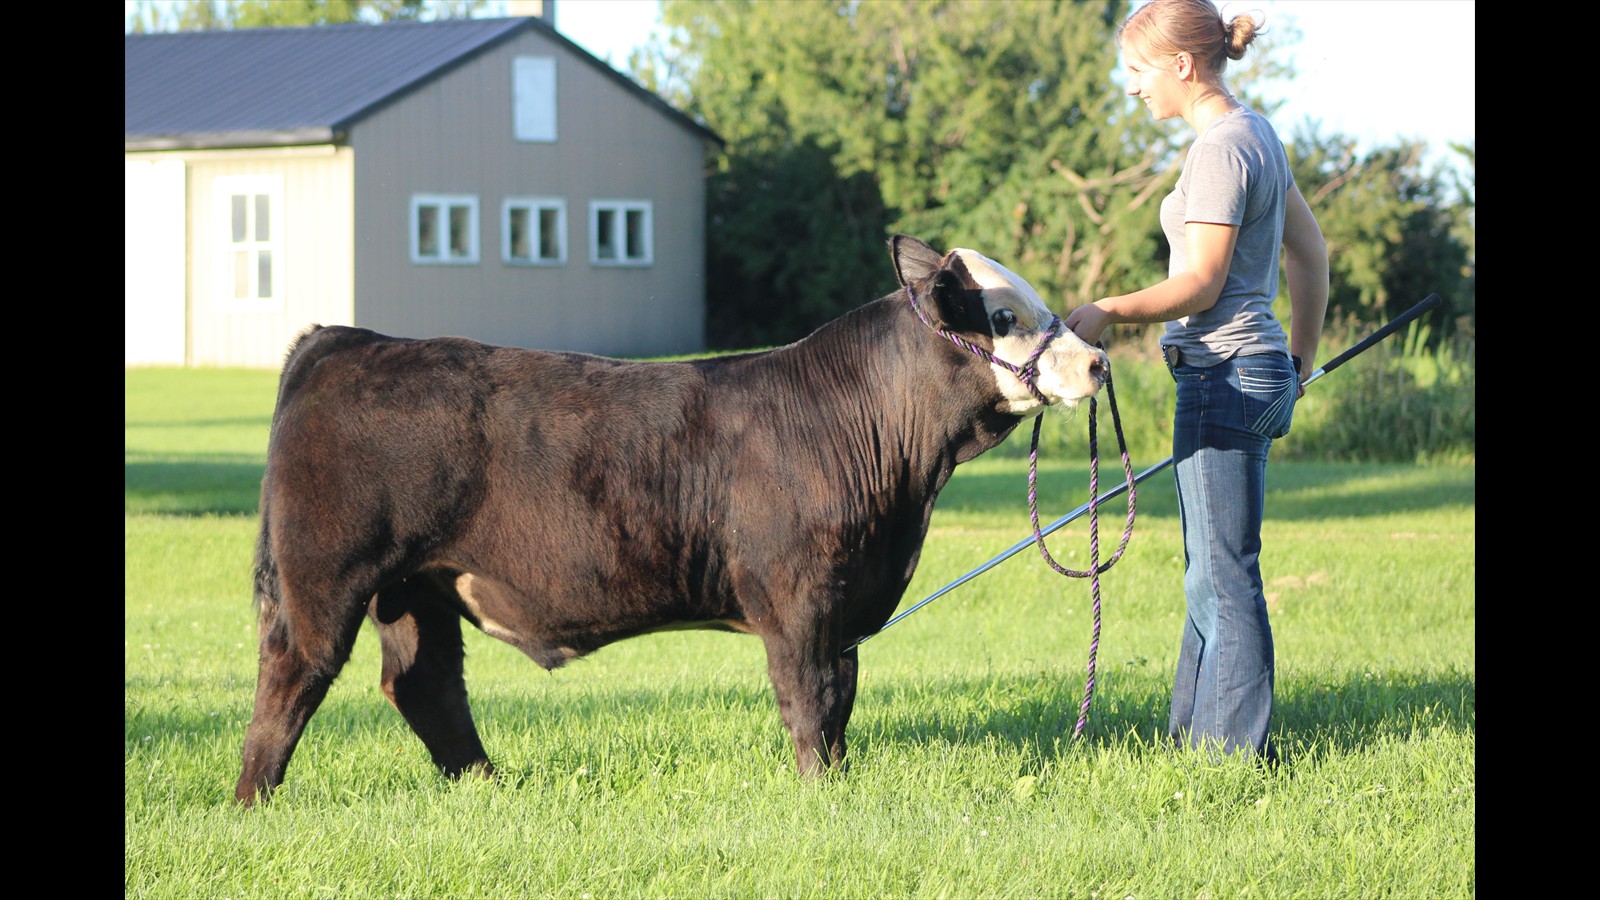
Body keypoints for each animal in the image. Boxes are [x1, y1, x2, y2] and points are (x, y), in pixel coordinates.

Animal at [234, 234, 1109, 805]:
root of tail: (346, 341)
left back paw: (488, 787)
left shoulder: (846, 609)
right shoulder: (799, 600)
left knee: (425, 684)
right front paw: (820, 794)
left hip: (419, 585)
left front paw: (838, 782)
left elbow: (841, 702)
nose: (1099, 361)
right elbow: (810, 699)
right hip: (329, 575)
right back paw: (253, 799)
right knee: (295, 671)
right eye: (1003, 317)